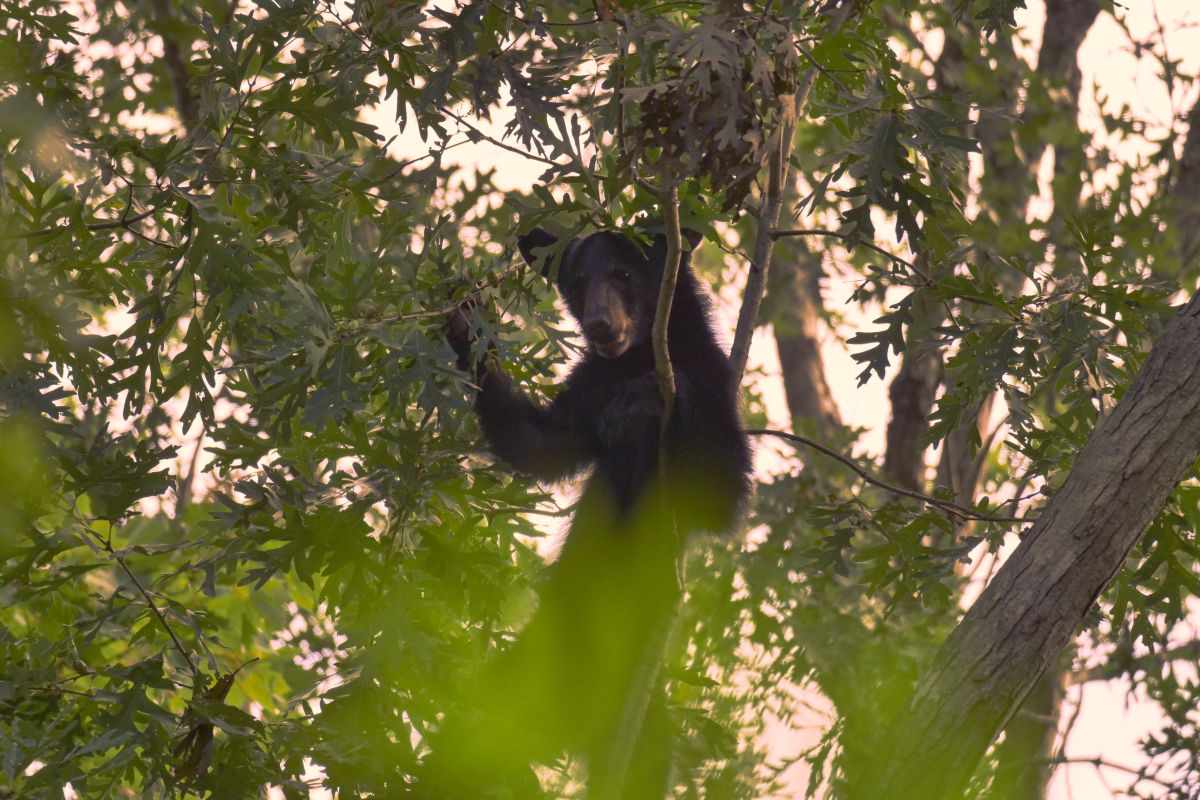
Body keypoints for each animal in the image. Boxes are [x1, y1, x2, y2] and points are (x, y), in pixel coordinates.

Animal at [432, 227, 748, 796]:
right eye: (579, 280)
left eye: (624, 274)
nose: (600, 323)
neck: (635, 357)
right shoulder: (587, 387)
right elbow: (536, 443)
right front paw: (466, 322)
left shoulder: (717, 384)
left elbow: (720, 493)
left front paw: (643, 401)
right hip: (523, 678)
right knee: (465, 736)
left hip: (642, 711)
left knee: (648, 767)